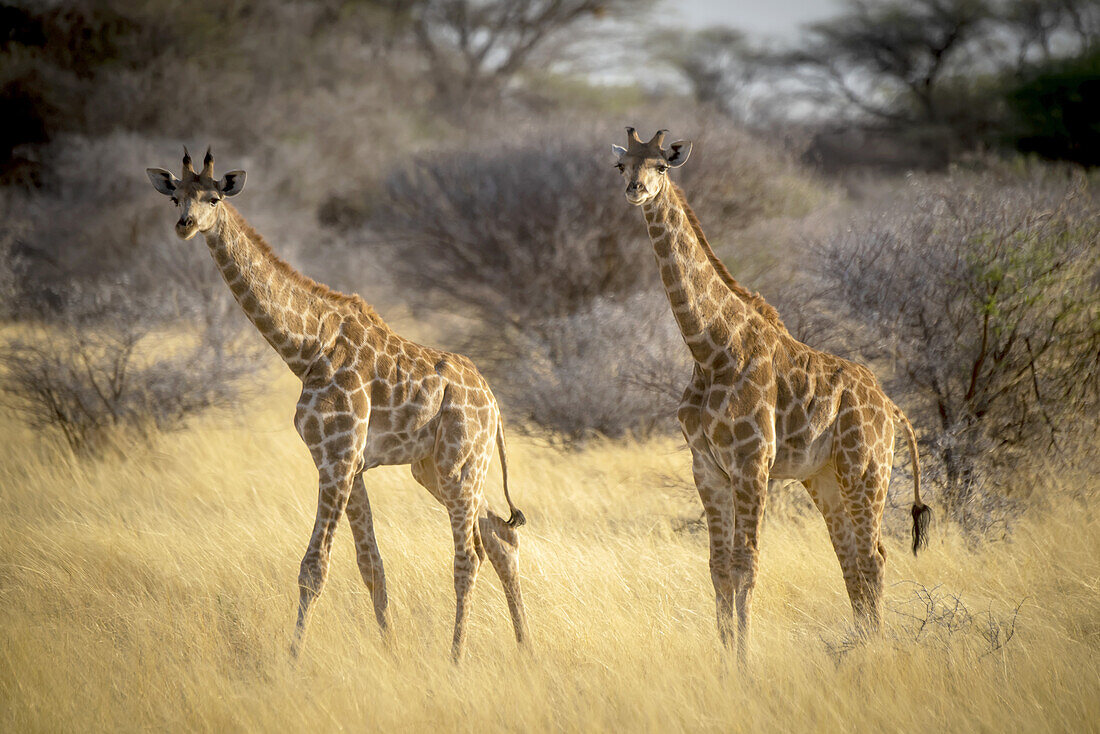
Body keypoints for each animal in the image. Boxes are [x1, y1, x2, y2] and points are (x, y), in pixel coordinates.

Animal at [147, 147, 528, 660]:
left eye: (213, 197)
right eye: (176, 198)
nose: (185, 225)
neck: (306, 347)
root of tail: (494, 404)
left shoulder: (338, 457)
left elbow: (314, 567)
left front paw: (292, 660)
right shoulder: (348, 462)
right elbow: (372, 566)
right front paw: (390, 653)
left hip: (459, 464)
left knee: (470, 554)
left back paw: (455, 659)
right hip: (436, 467)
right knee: (502, 537)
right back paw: (526, 651)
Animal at [611, 129, 928, 664]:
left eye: (662, 165)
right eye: (622, 166)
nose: (635, 190)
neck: (710, 348)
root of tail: (891, 407)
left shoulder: (752, 461)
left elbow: (746, 563)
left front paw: (743, 661)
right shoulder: (707, 466)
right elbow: (717, 566)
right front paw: (724, 658)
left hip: (866, 469)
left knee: (874, 556)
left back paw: (876, 650)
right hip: (823, 478)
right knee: (850, 558)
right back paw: (862, 644)